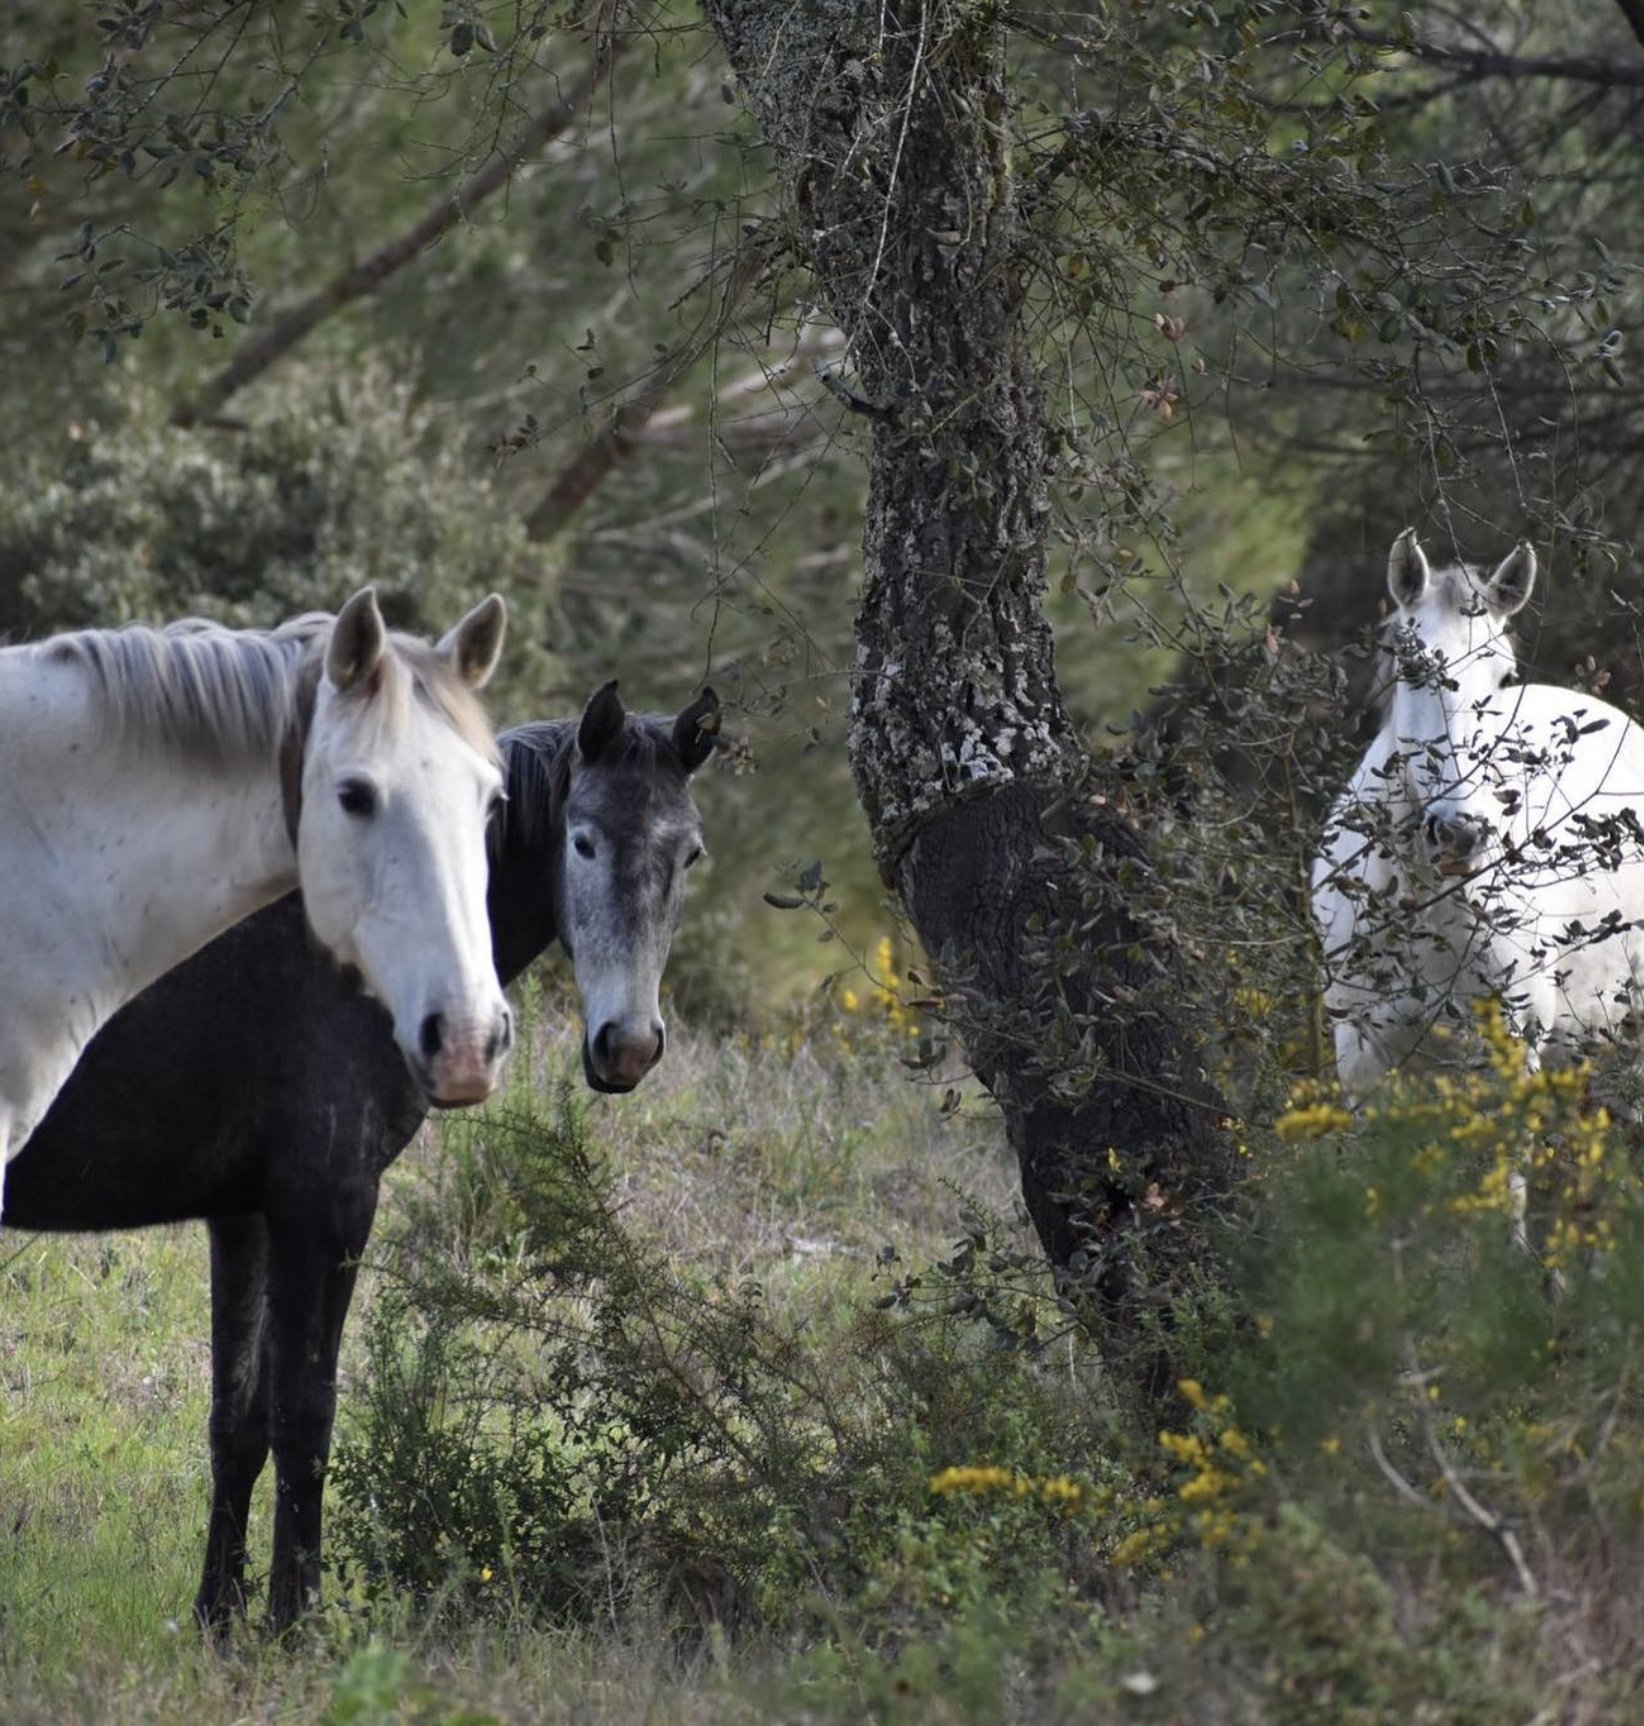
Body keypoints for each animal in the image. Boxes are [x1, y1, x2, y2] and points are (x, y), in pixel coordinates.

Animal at [1, 681, 718, 1634]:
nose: (629, 1046)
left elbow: (239, 1422)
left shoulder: (246, 1214)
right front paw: (294, 1625)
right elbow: (307, 1417)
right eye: (584, 839)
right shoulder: (329, 1203)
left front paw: (220, 1621)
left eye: (689, 853)